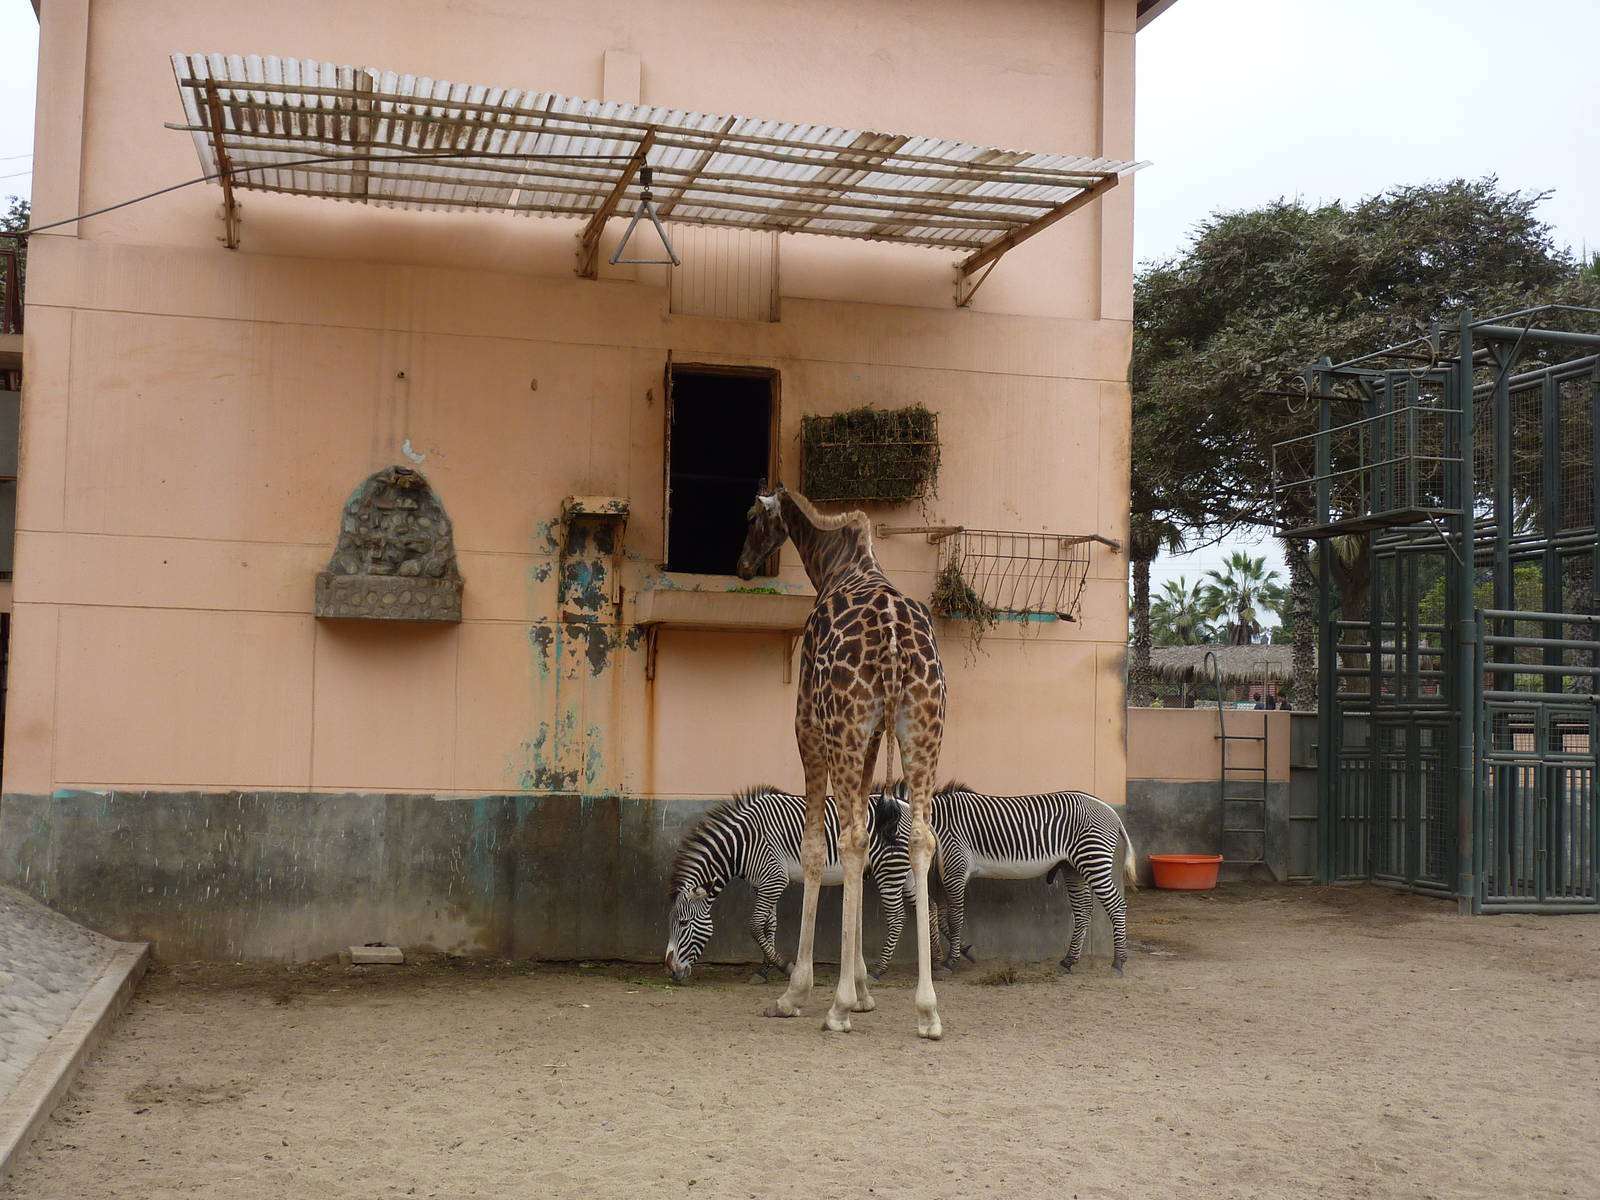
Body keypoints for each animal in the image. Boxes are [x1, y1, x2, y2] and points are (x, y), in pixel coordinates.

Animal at [665, 786, 911, 983]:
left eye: (684, 923)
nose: (671, 971)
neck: (743, 844)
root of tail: (904, 803)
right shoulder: (763, 884)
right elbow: (768, 925)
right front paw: (763, 970)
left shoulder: (774, 879)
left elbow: (755, 926)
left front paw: (786, 967)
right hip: (906, 873)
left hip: (890, 869)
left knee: (897, 917)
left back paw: (878, 971)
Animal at [736, 484, 946, 1038]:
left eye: (750, 517)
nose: (742, 566)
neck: (836, 565)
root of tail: (894, 640)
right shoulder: (870, 737)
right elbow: (866, 833)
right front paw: (865, 989)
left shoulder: (808, 722)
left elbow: (816, 847)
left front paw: (799, 992)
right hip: (921, 728)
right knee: (919, 837)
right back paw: (927, 1010)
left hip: (844, 725)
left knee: (849, 838)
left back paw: (836, 1007)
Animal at [892, 782, 1138, 974]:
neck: (937, 824)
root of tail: (1111, 811)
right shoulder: (948, 874)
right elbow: (943, 917)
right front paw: (964, 951)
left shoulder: (956, 868)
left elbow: (954, 918)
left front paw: (951, 961)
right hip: (1073, 867)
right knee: (1084, 909)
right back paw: (1069, 960)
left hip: (1093, 860)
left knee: (1116, 905)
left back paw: (1119, 962)